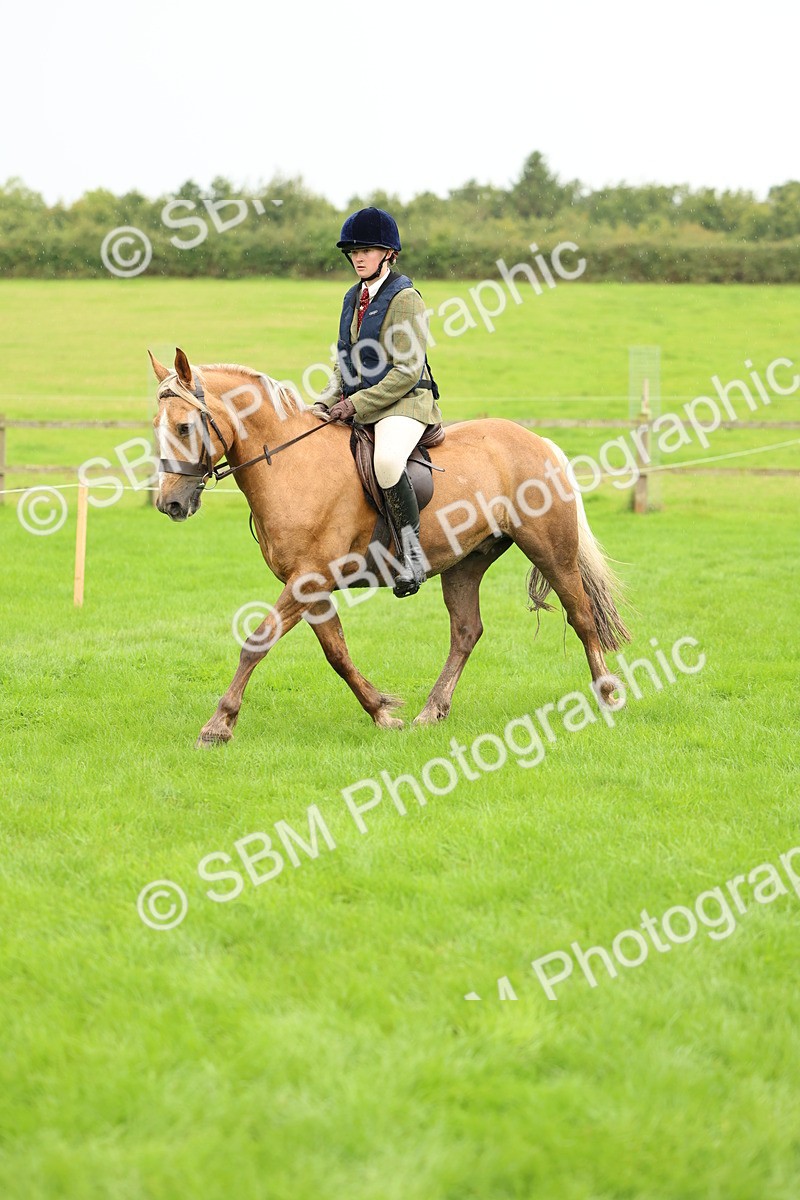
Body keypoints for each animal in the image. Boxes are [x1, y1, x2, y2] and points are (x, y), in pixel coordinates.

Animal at [150, 349, 630, 747]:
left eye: (184, 426)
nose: (169, 503)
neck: (291, 464)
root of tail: (535, 441)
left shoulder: (308, 580)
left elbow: (257, 641)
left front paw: (218, 725)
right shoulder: (311, 586)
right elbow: (337, 652)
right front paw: (383, 713)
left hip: (550, 549)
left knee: (581, 614)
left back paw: (607, 694)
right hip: (465, 562)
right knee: (466, 631)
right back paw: (430, 712)